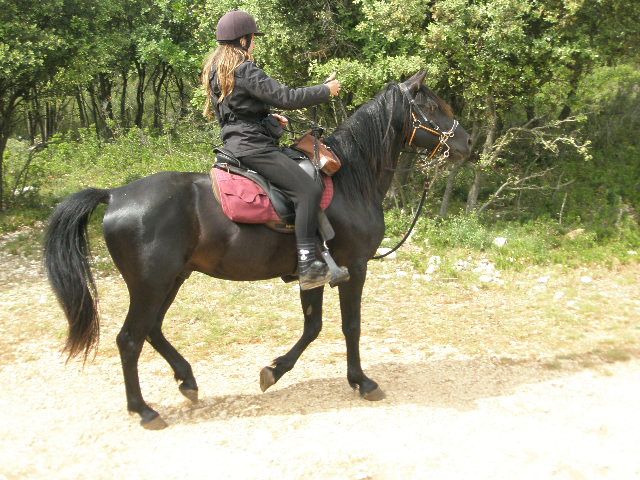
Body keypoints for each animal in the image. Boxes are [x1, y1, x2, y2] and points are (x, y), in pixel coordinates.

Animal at [44, 71, 471, 429]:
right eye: (433, 107)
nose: (466, 142)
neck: (351, 180)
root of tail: (115, 195)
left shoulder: (314, 274)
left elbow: (313, 327)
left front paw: (274, 371)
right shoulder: (354, 267)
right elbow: (351, 326)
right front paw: (362, 382)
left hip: (171, 279)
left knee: (152, 330)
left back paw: (187, 380)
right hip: (151, 285)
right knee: (130, 339)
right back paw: (144, 410)